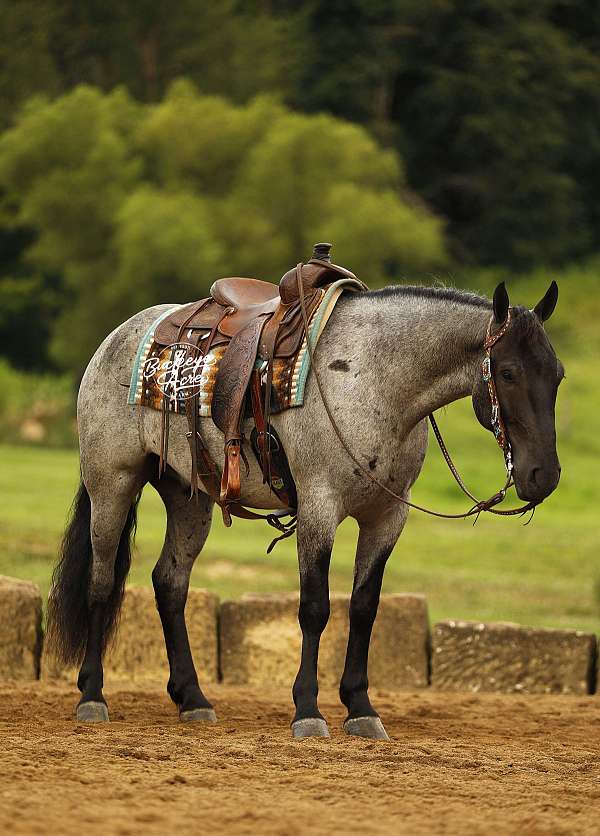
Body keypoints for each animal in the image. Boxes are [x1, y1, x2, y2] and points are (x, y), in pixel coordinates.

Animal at [47, 279, 563, 739]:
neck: (374, 379)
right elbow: (315, 608)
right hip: (111, 484)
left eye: (556, 374)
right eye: (508, 372)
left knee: (169, 583)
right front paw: (308, 711)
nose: (544, 476)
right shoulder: (319, 508)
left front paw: (361, 707)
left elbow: (364, 607)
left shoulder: (386, 517)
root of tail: (116, 337)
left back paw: (193, 699)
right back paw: (92, 696)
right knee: (101, 581)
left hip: (187, 497)